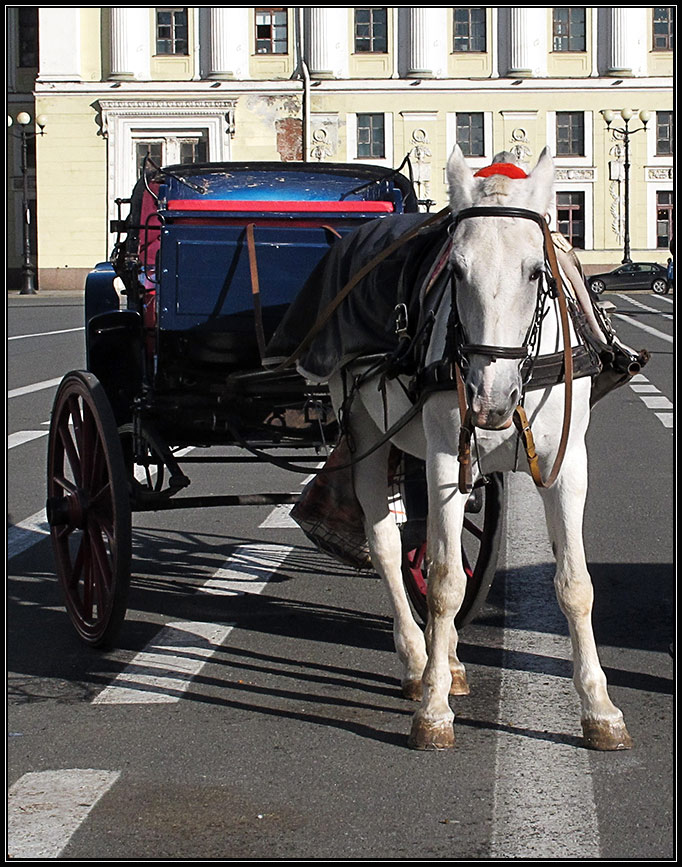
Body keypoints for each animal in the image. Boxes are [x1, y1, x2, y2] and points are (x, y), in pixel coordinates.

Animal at [326, 146, 628, 748]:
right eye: (456, 269)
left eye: (535, 270)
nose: (490, 399)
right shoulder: (448, 460)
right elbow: (445, 582)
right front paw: (434, 710)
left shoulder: (567, 465)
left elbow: (575, 583)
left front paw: (599, 707)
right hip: (367, 436)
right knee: (387, 546)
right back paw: (418, 662)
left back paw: (449, 660)